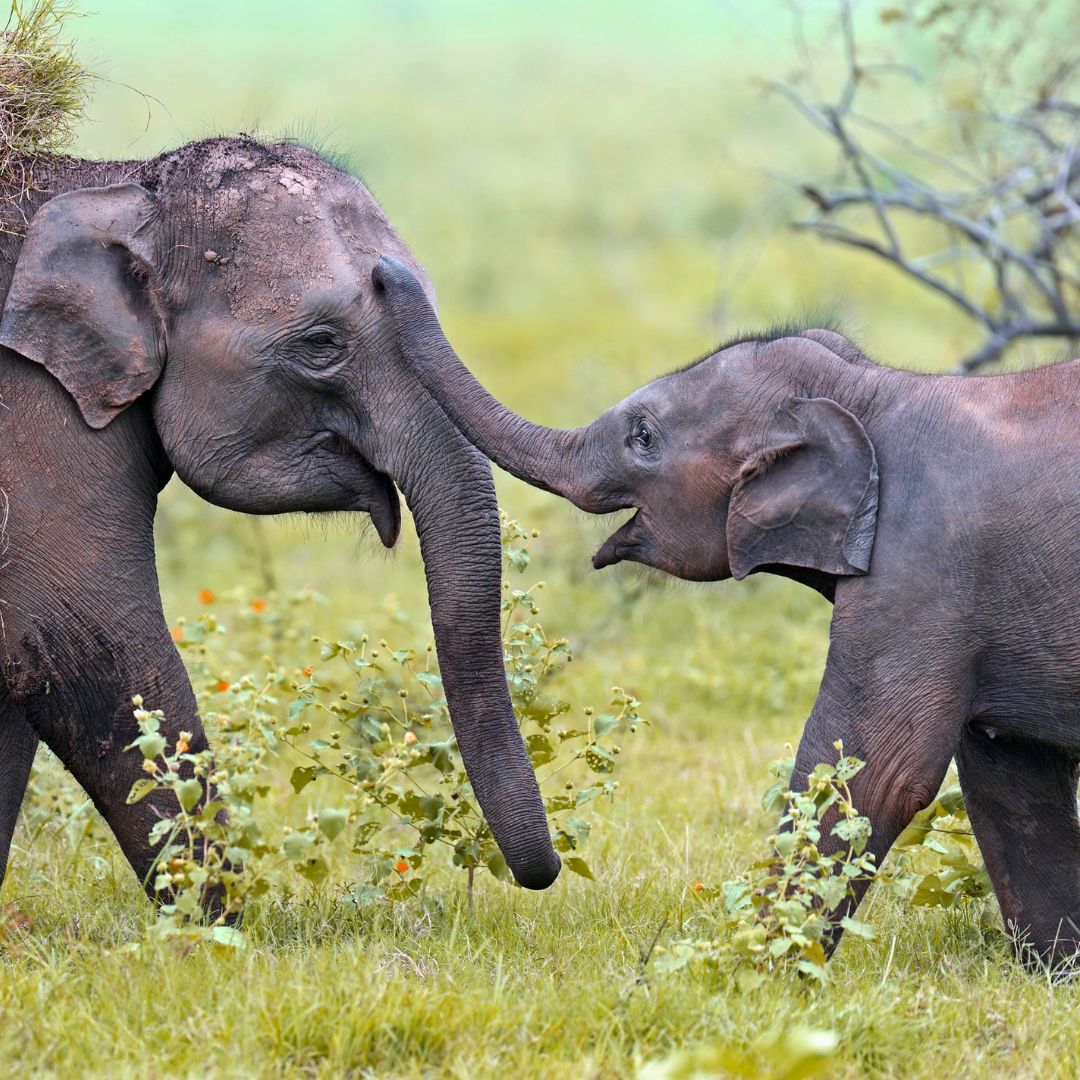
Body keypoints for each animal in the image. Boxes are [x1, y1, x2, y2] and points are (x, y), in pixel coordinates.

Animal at [0, 137, 562, 911]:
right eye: (321, 344)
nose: (544, 874)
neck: (126, 184)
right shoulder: (37, 418)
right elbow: (71, 639)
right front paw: (213, 923)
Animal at [374, 252, 1080, 969]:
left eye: (643, 437)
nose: (384, 272)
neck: (868, 392)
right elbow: (1011, 783)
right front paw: (1054, 974)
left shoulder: (920, 573)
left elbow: (876, 769)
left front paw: (757, 968)